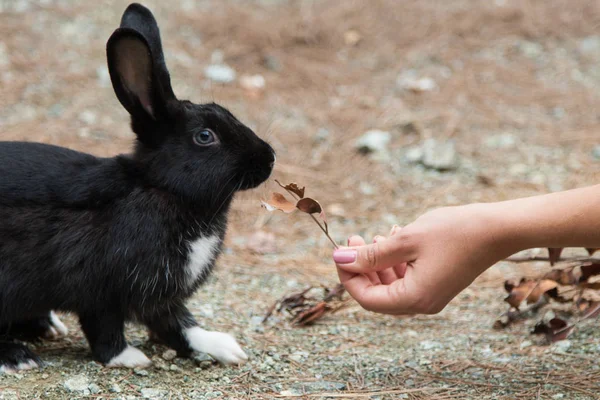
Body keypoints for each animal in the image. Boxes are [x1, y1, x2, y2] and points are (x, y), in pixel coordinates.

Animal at [0, 2, 276, 372]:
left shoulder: (160, 296)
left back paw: (47, 326)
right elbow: (104, 328)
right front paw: (129, 357)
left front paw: (224, 347)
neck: (161, 188)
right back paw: (18, 356)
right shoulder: (104, 289)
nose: (269, 158)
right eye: (205, 136)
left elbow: (179, 324)